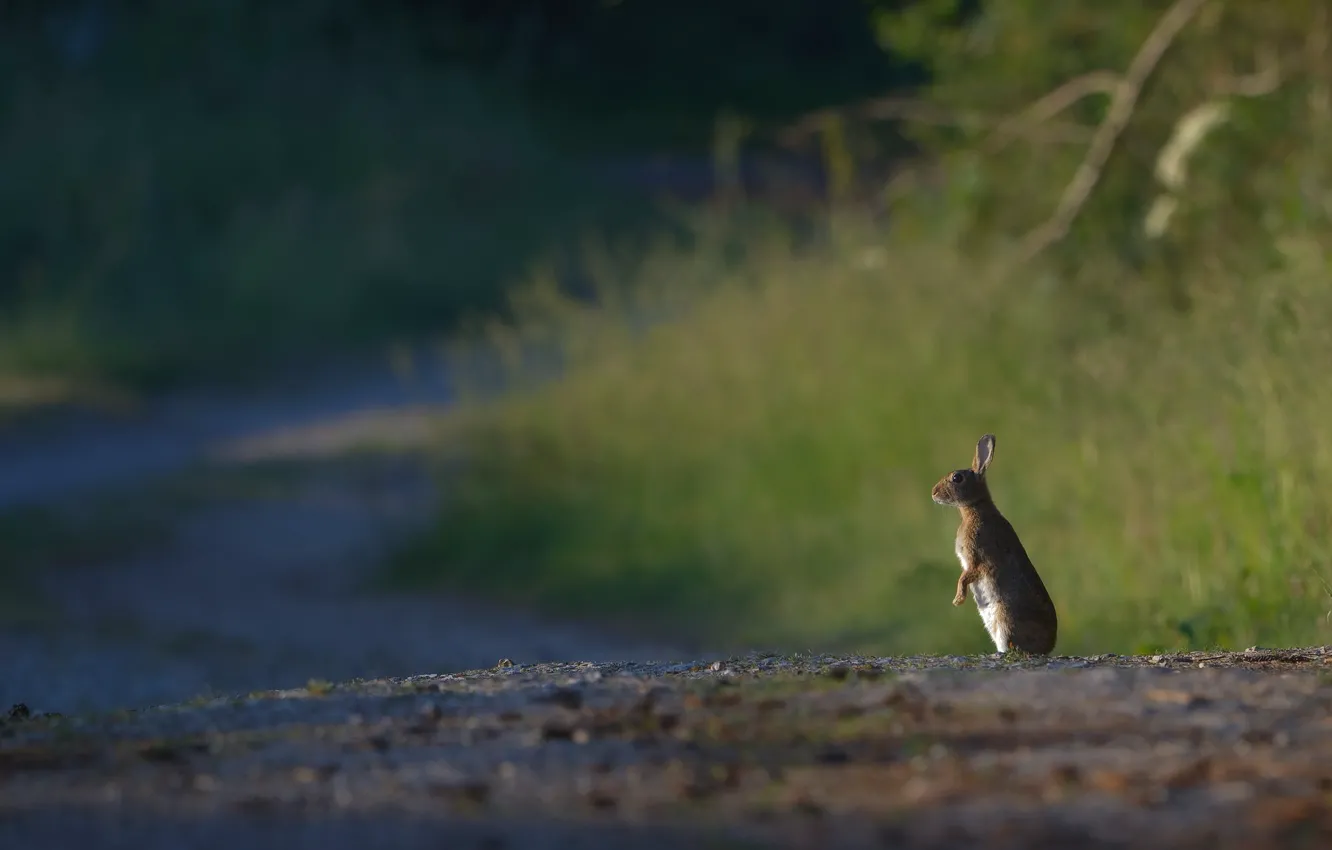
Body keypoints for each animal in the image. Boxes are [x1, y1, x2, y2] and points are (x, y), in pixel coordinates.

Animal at [930, 434, 1058, 655]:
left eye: (957, 478)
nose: (933, 492)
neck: (975, 507)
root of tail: (1048, 647)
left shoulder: (977, 557)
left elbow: (966, 576)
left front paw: (958, 600)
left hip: (1004, 618)